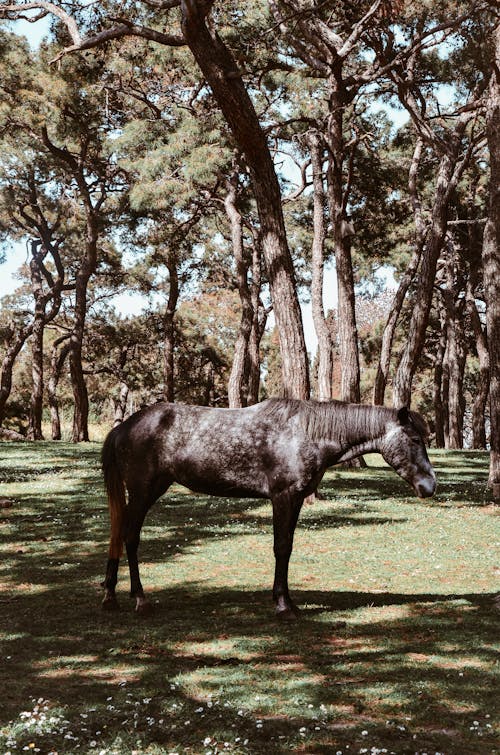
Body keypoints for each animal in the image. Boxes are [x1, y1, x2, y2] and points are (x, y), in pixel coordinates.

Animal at [99, 398, 436, 616]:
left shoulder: (296, 499)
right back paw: (139, 599)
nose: (430, 486)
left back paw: (111, 595)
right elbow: (281, 548)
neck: (306, 433)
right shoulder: (283, 497)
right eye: (415, 439)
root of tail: (123, 427)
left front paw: (286, 600)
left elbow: (287, 547)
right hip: (142, 492)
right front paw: (284, 605)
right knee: (130, 537)